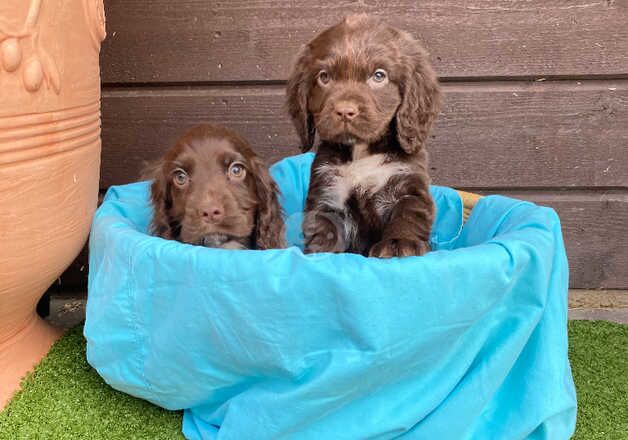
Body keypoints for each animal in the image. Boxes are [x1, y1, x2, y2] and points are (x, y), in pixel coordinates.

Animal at [286, 13, 440, 258]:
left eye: (379, 75)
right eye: (324, 77)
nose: (345, 111)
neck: (362, 152)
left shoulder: (408, 184)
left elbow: (408, 214)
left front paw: (399, 243)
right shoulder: (328, 191)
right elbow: (323, 228)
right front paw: (321, 253)